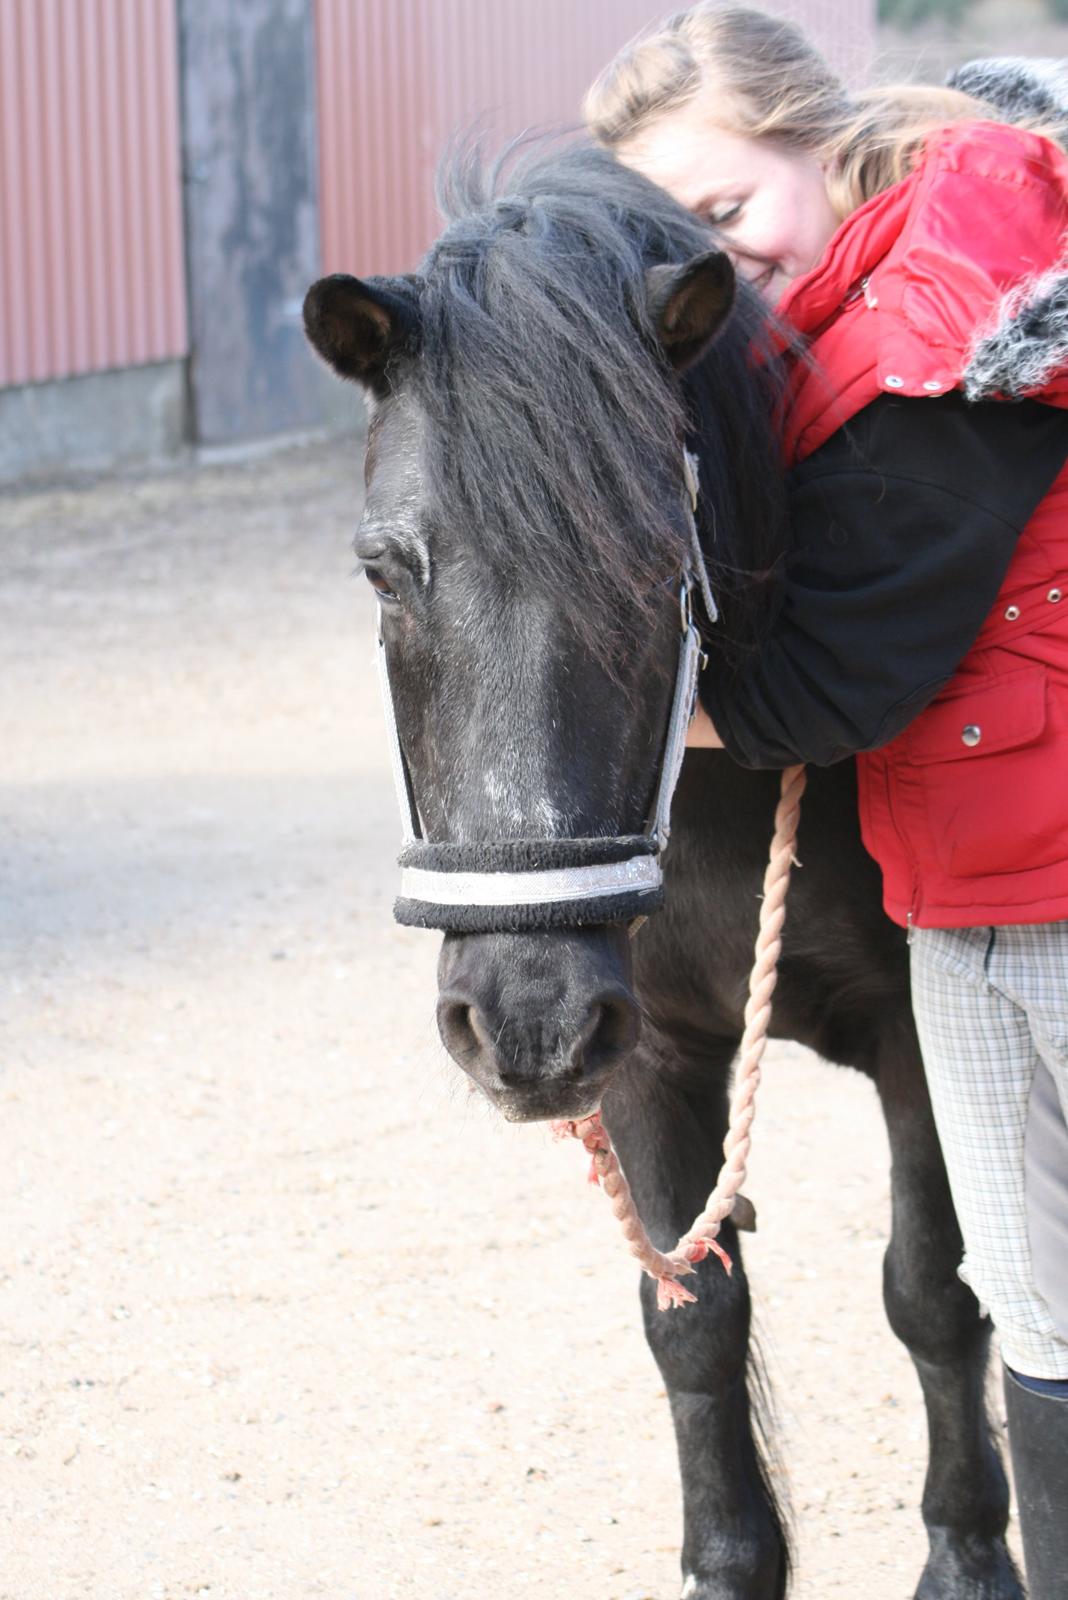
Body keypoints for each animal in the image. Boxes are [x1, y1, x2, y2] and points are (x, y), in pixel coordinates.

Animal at [306, 147, 1016, 1600]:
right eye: (383, 570)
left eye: (658, 557)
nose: (518, 1019)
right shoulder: (639, 1047)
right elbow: (693, 1318)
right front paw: (730, 1562)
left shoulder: (923, 1030)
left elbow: (936, 1287)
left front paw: (971, 1554)